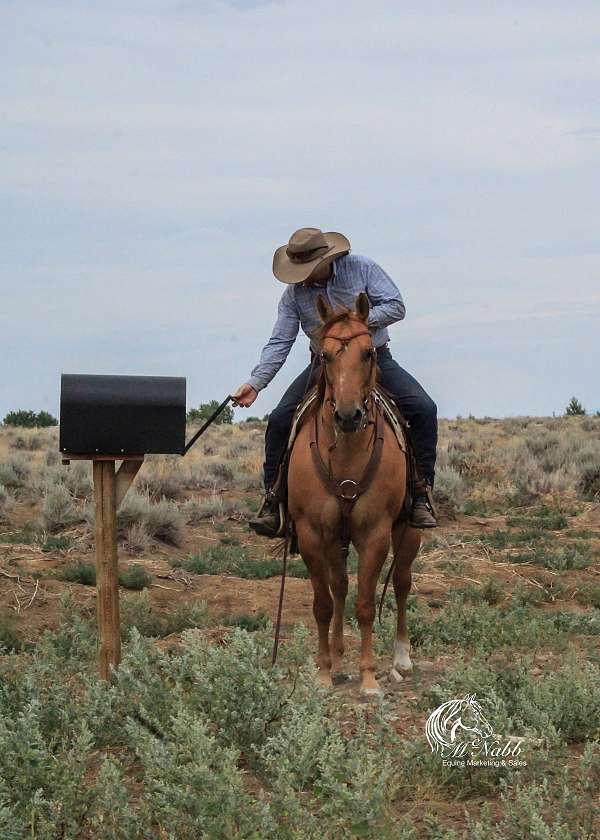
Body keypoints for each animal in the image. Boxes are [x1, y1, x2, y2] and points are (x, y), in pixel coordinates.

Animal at [288, 292, 422, 700]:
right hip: (336, 538)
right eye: (325, 356)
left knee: (401, 583)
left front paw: (368, 678)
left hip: (409, 531)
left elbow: (365, 604)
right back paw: (336, 652)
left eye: (368, 352)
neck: (347, 452)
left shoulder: (374, 533)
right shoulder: (313, 534)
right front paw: (323, 671)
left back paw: (401, 658)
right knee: (339, 588)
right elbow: (323, 603)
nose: (349, 416)